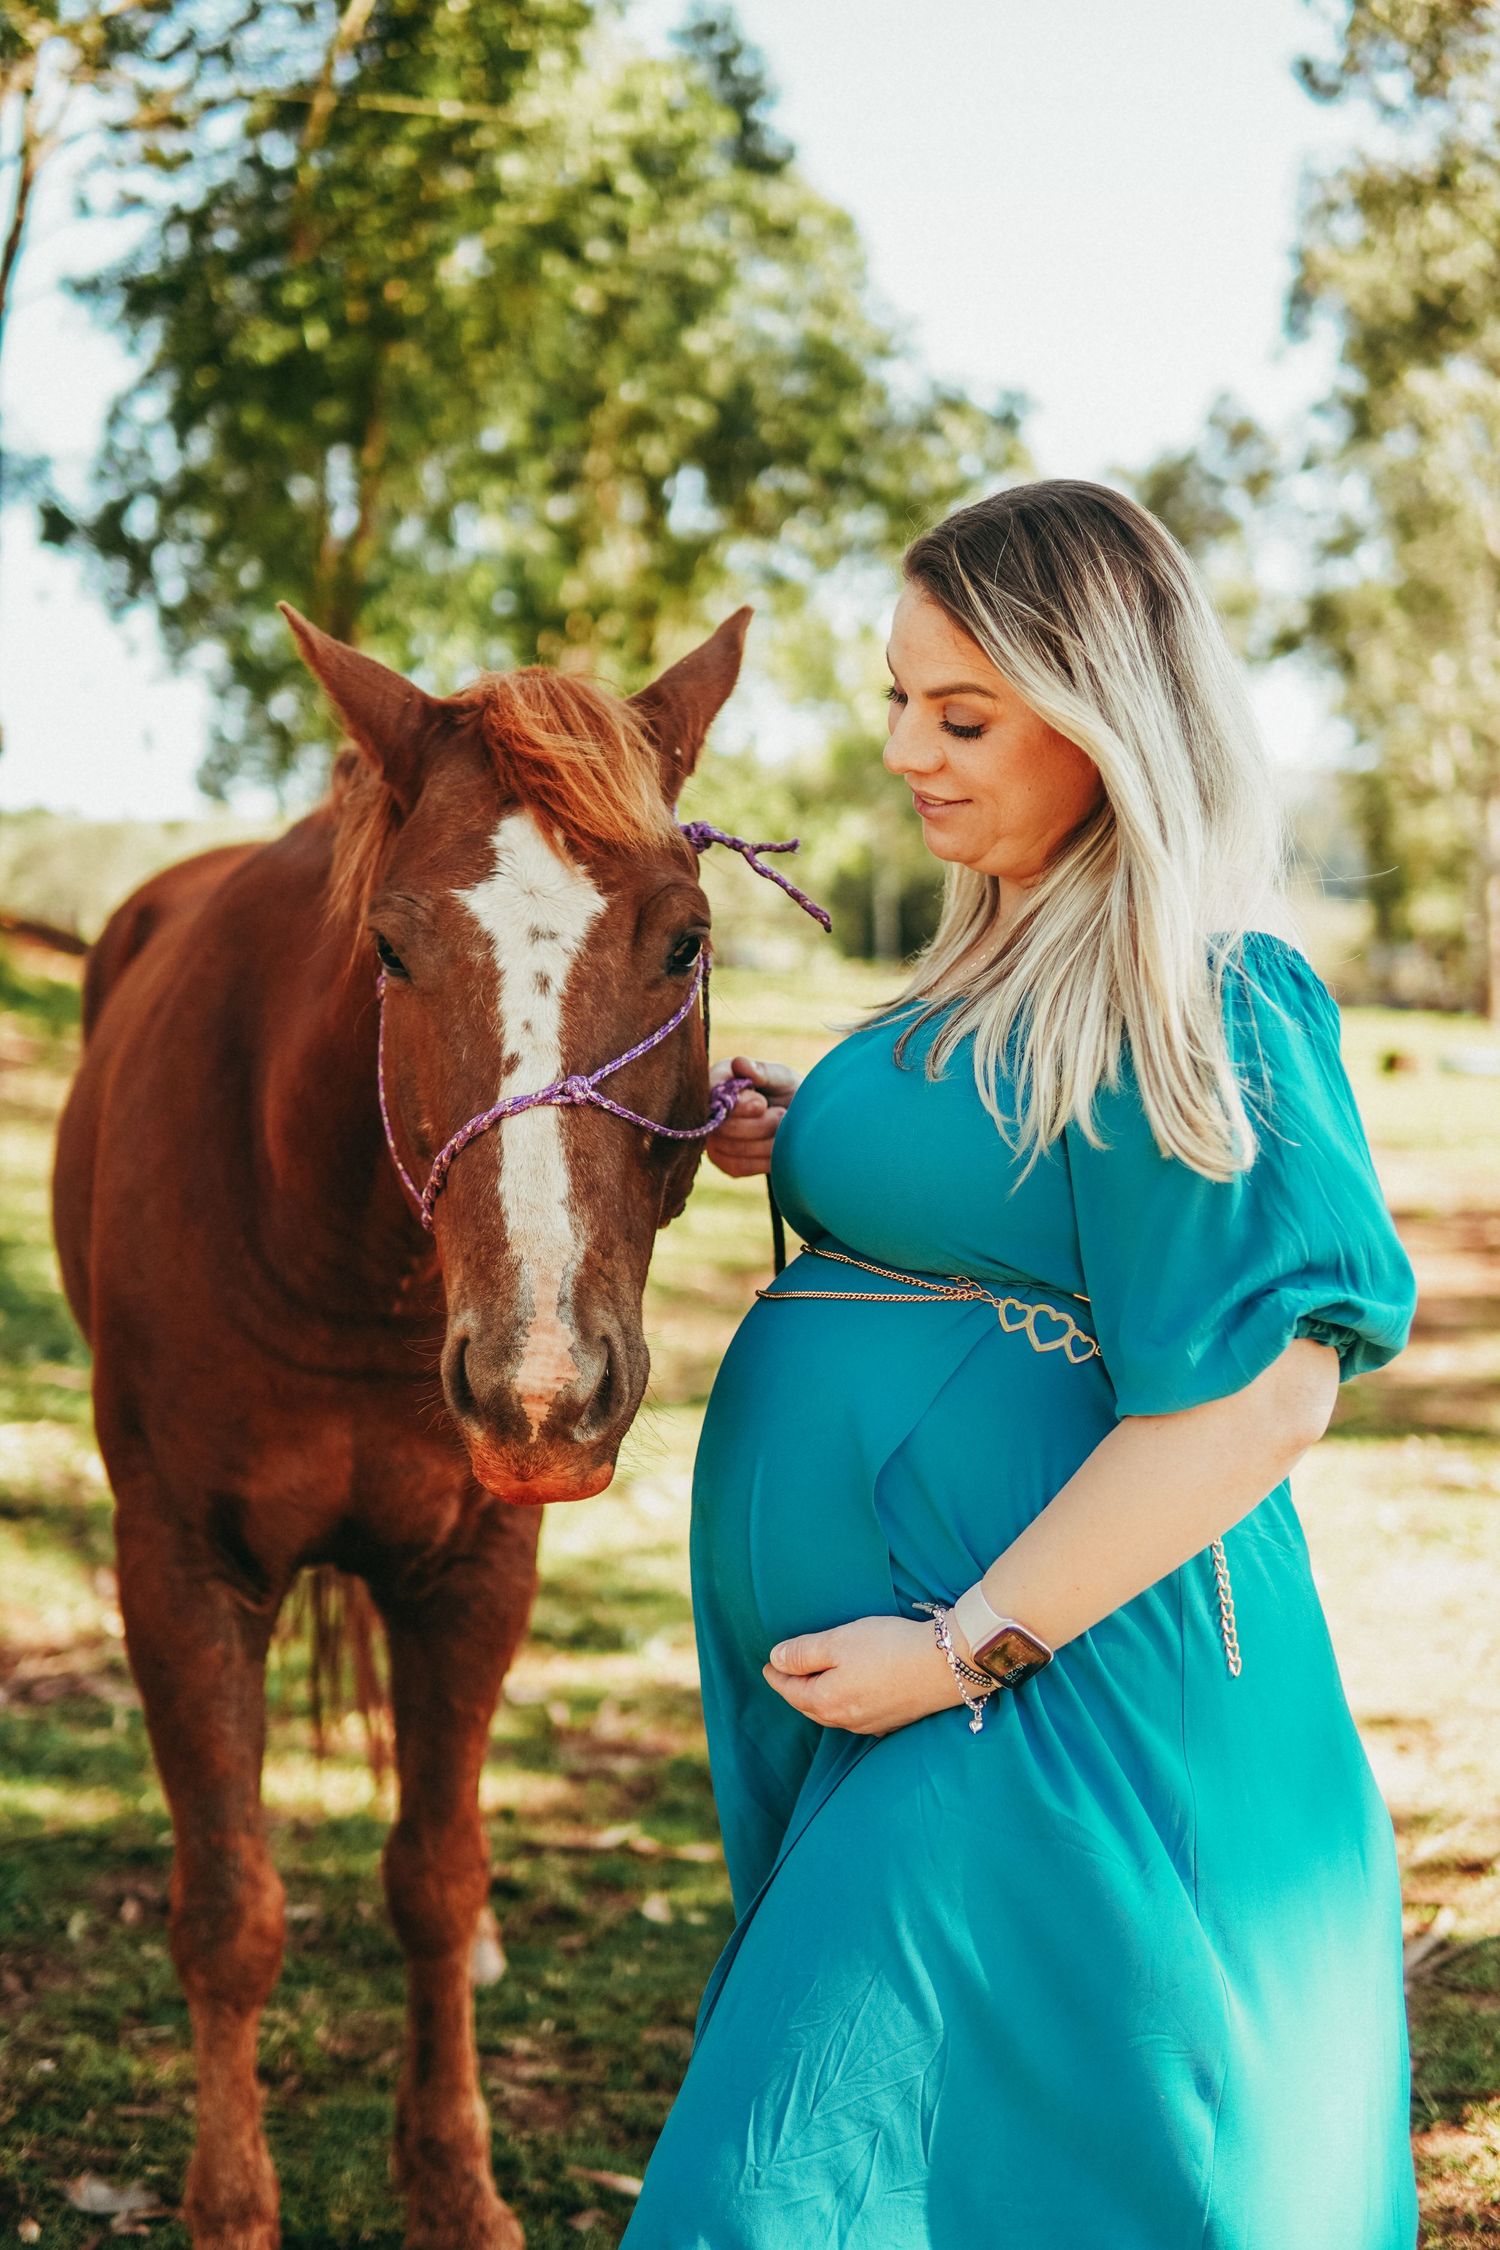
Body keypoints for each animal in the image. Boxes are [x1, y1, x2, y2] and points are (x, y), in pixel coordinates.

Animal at [51, 604, 761, 2250]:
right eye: (391, 945)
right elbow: (228, 1912)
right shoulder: (177, 1571)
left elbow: (437, 1879)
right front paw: (231, 2205)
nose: (543, 1385)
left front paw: (453, 2182)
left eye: (686, 939)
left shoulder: (475, 1574)